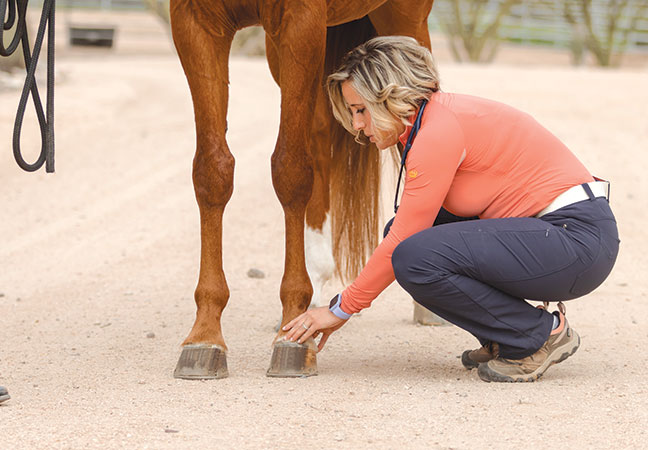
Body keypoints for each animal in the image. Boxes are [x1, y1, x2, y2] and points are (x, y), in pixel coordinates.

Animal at [170, 0, 436, 379]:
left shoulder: (301, 22)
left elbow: (290, 171)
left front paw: (292, 337)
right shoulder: (194, 22)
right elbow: (212, 170)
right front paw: (204, 336)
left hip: (404, 18)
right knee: (318, 133)